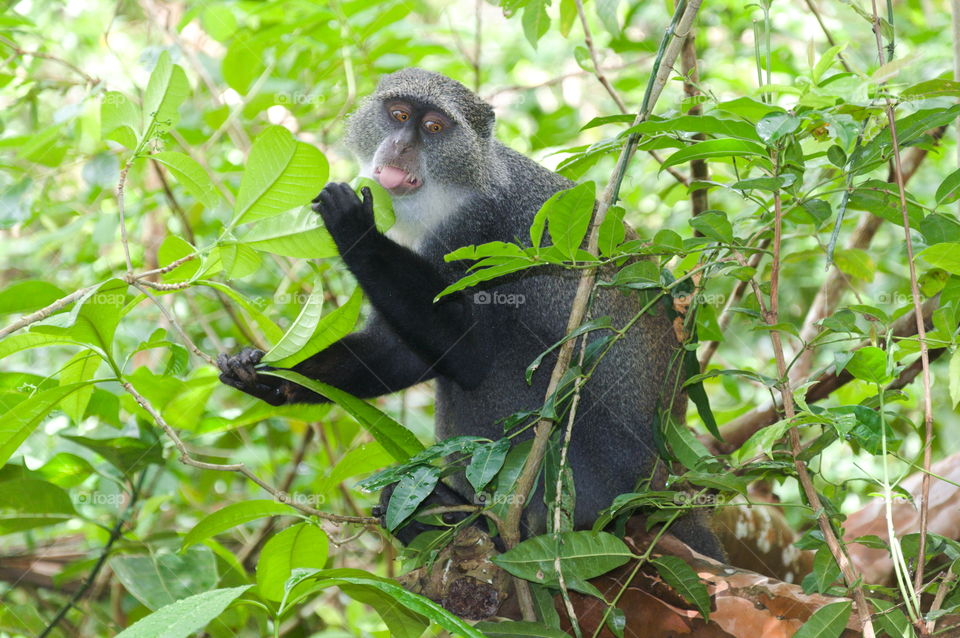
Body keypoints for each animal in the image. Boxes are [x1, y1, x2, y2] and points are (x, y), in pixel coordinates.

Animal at [217, 68, 723, 560]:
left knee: (504, 358)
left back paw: (481, 525)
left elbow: (470, 355)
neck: (448, 191)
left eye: (434, 128)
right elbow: (400, 354)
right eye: (399, 115)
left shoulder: (482, 232)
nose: (401, 146)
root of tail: (660, 479)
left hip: (587, 463)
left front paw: (353, 226)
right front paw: (262, 375)